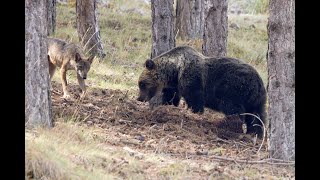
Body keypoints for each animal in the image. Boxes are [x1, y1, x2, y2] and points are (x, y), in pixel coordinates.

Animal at [136, 45, 266, 136]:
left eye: (142, 83)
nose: (139, 98)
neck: (175, 69)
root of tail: (258, 81)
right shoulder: (174, 85)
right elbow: (171, 96)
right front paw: (164, 105)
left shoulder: (191, 78)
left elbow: (194, 98)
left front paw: (194, 111)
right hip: (256, 98)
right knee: (257, 115)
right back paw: (255, 133)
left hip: (234, 89)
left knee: (234, 109)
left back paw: (231, 127)